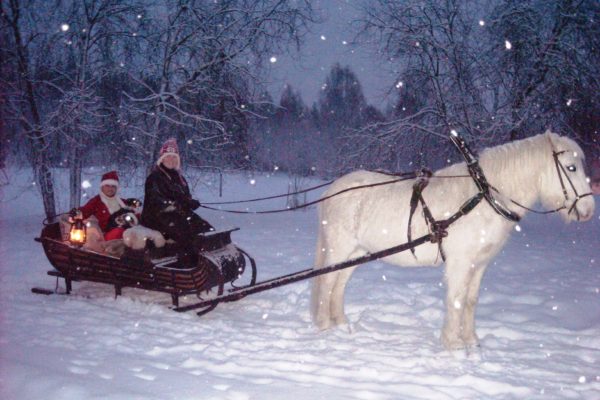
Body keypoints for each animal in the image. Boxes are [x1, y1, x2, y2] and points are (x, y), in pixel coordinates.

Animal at [312, 130, 592, 348]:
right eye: (571, 167)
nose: (589, 210)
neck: (483, 197)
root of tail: (332, 190)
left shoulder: (479, 264)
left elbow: (470, 301)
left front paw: (471, 341)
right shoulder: (461, 262)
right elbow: (456, 299)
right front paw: (454, 345)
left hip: (357, 253)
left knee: (339, 284)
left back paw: (340, 324)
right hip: (339, 248)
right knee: (326, 282)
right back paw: (324, 325)